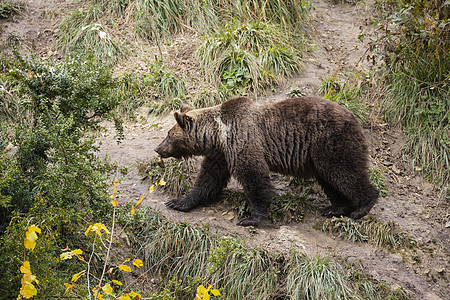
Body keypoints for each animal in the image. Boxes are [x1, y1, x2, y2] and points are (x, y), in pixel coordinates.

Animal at [153, 97, 378, 226]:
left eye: (168, 134)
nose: (157, 148)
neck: (219, 135)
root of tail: (356, 119)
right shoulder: (221, 155)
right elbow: (208, 179)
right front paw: (178, 202)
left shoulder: (243, 142)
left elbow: (254, 178)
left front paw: (250, 218)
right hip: (319, 156)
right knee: (330, 180)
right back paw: (335, 208)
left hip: (331, 142)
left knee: (345, 173)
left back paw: (362, 207)